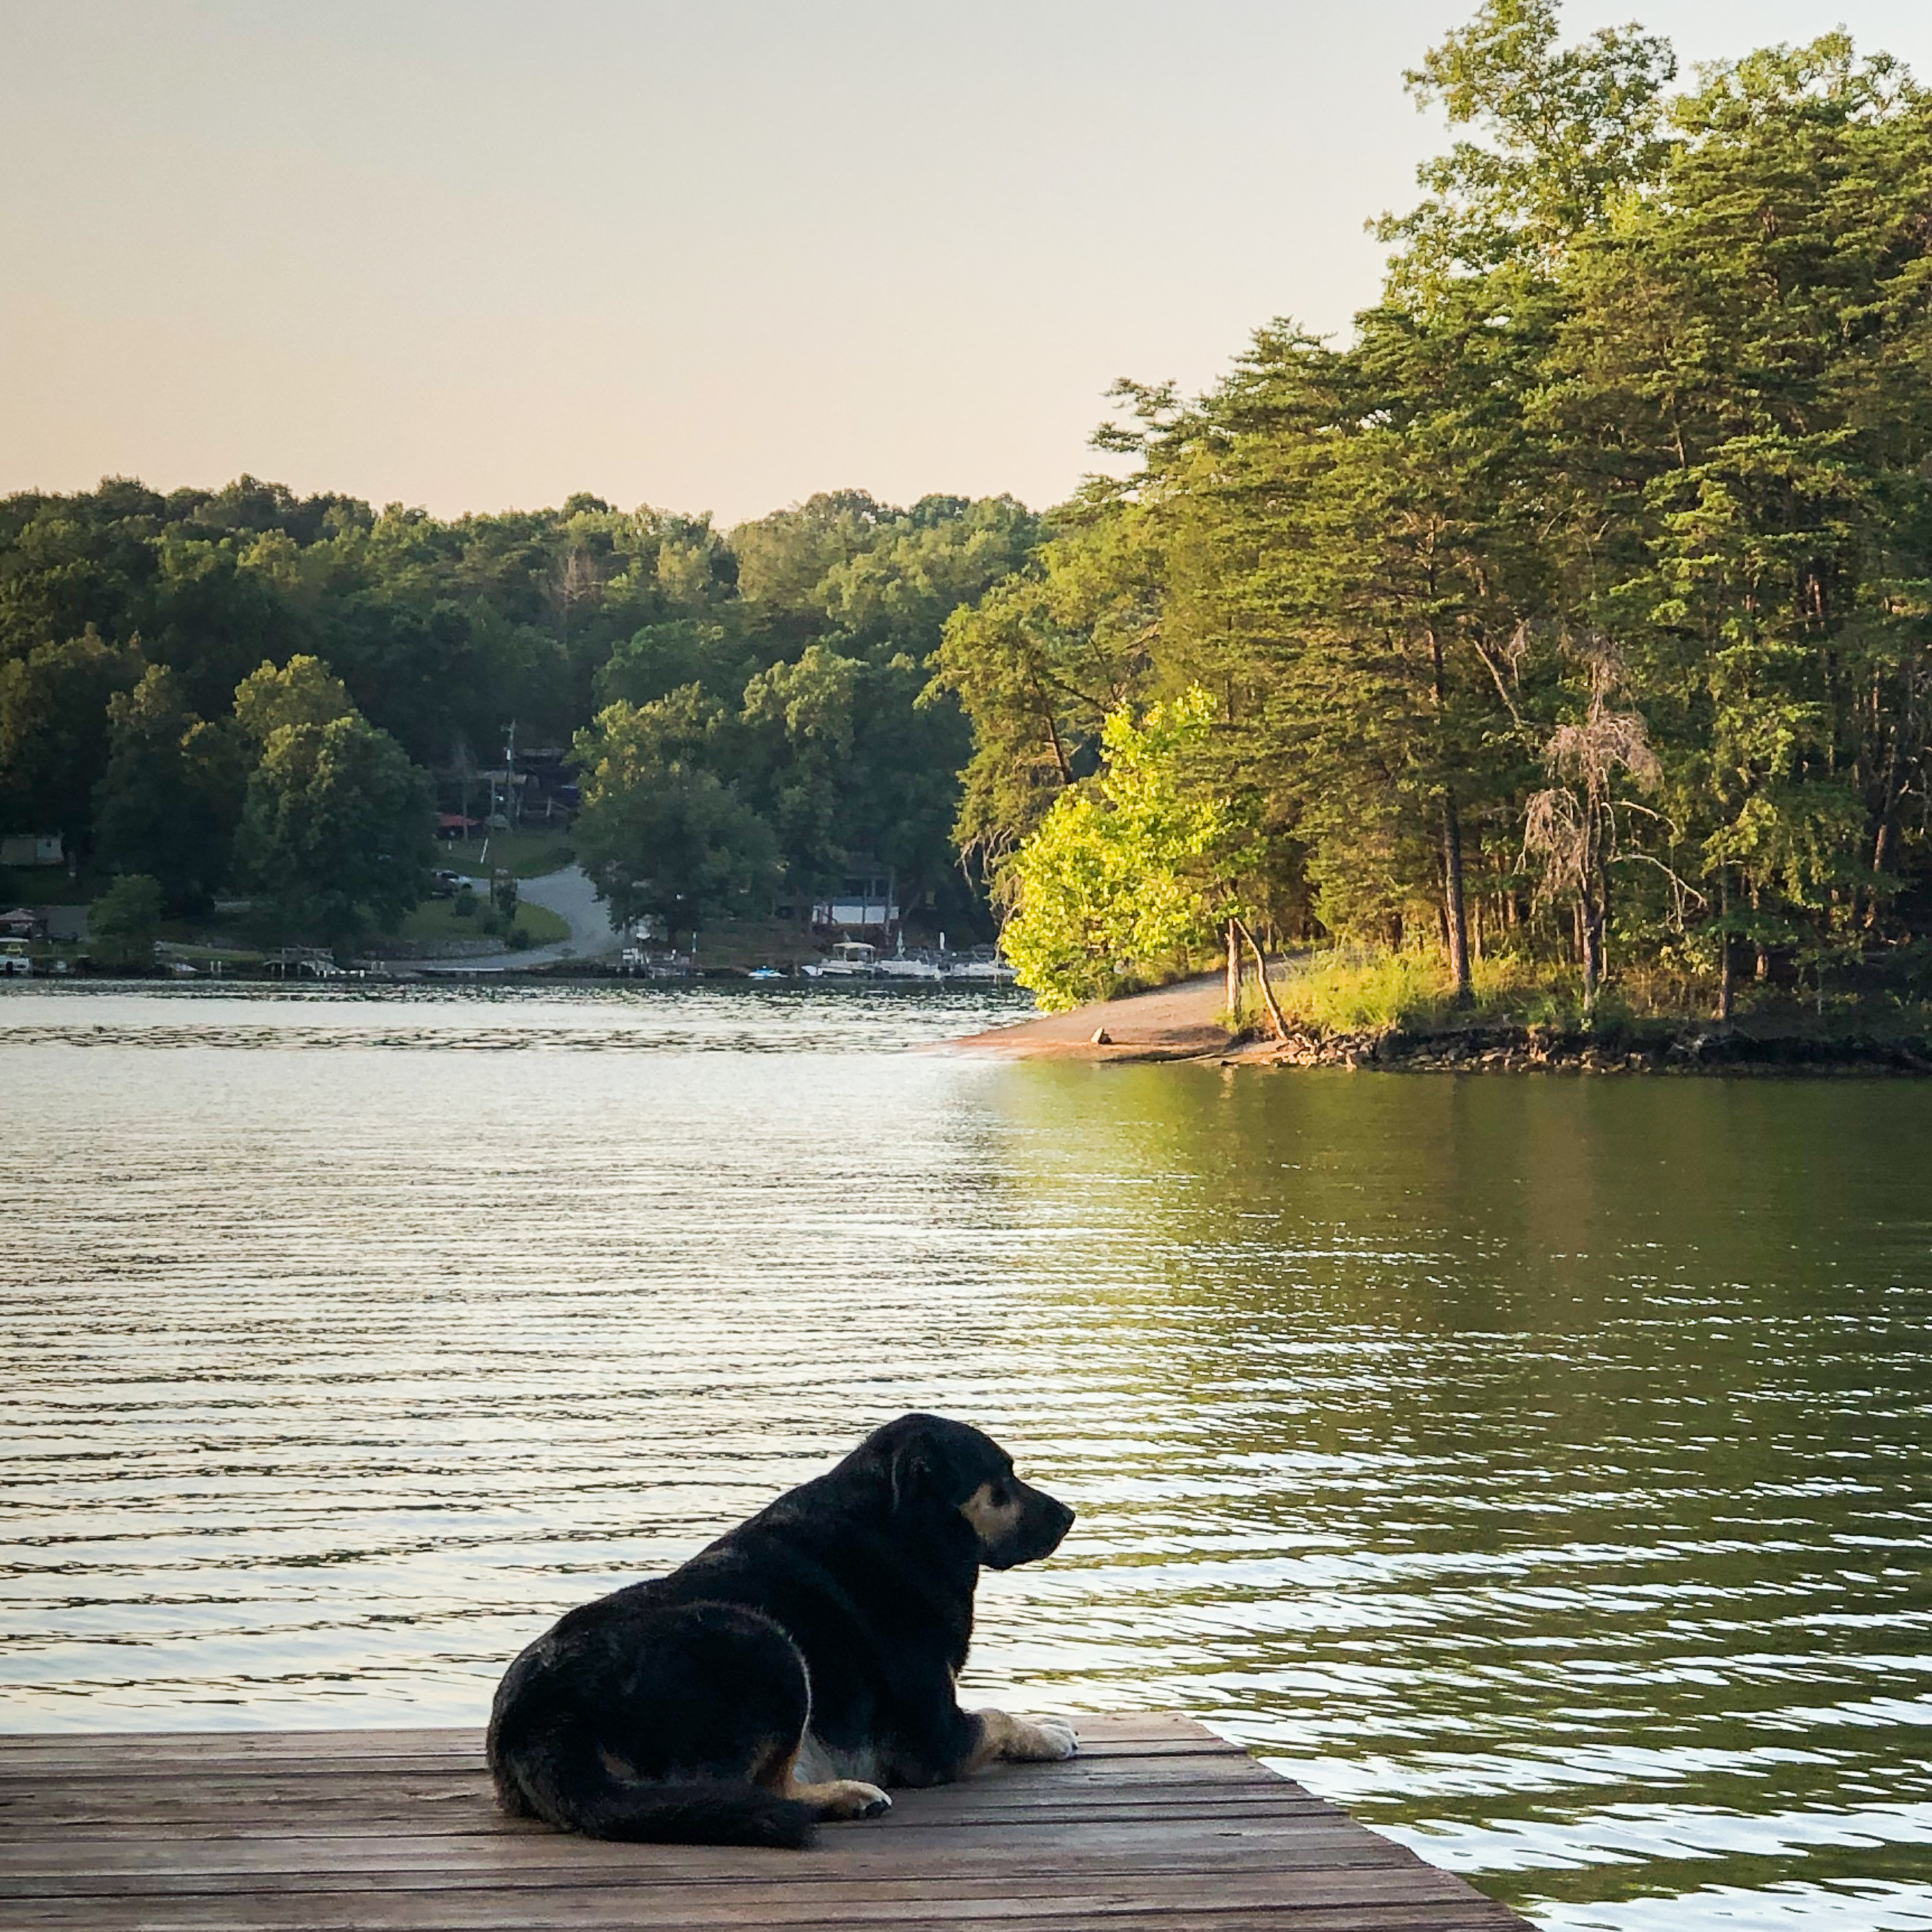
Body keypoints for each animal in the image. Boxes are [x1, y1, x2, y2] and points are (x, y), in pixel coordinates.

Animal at [491, 1414, 1081, 1846]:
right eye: (1003, 1479)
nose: (1070, 1515)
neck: (899, 1529)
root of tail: (543, 1716)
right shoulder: (935, 1740)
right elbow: (998, 1717)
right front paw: (1050, 1734)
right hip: (765, 1643)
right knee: (759, 1789)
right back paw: (849, 1795)